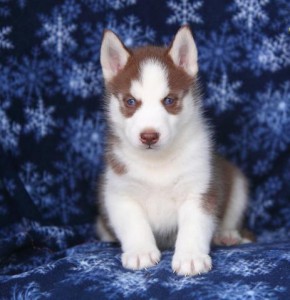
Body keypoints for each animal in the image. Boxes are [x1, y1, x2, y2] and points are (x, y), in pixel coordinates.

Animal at [96, 26, 248, 276]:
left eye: (168, 100)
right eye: (130, 101)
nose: (149, 136)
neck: (157, 161)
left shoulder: (199, 189)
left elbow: (194, 225)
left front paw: (191, 257)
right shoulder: (119, 192)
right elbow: (134, 224)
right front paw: (140, 251)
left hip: (237, 183)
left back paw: (226, 234)